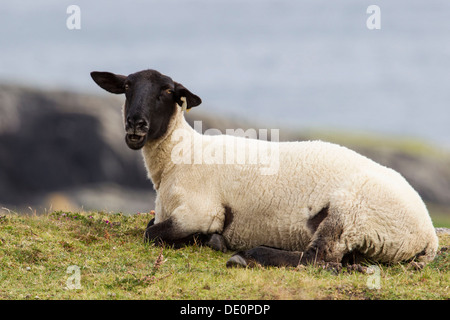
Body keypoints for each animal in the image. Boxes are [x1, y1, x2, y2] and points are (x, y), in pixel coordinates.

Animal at [90, 68, 440, 268]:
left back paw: (247, 257)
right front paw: (210, 240)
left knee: (320, 261)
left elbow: (151, 233)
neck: (180, 156)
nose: (136, 124)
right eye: (127, 87)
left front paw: (213, 240)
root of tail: (429, 235)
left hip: (350, 213)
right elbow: (151, 226)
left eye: (167, 91)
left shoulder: (199, 211)